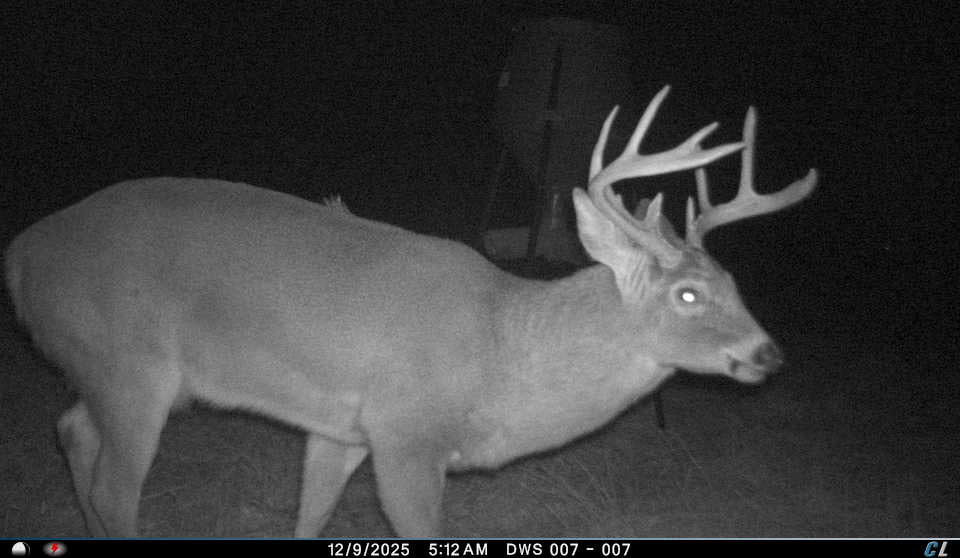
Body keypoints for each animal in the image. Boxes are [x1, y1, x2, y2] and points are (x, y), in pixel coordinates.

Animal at [4, 86, 817, 537]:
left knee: (71, 430)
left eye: (736, 282)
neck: (502, 353)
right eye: (688, 294)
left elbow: (309, 520)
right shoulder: (406, 434)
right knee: (114, 489)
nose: (769, 353)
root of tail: (18, 256)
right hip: (130, 366)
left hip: (109, 372)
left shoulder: (342, 430)